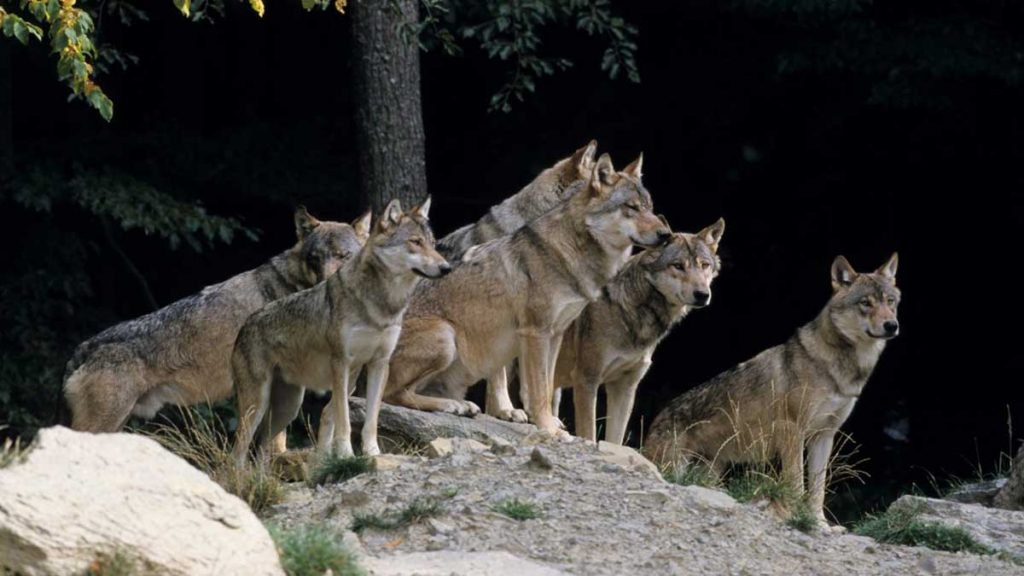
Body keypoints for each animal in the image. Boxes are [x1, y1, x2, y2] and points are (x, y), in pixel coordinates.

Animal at [231, 198, 449, 461]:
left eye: (433, 244)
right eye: (415, 242)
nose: (447, 267)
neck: (382, 305)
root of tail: (244, 325)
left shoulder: (379, 364)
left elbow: (371, 419)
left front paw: (373, 453)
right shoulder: (341, 363)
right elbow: (343, 417)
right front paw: (346, 454)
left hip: (288, 408)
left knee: (262, 451)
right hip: (257, 406)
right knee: (237, 452)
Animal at [382, 154, 670, 436]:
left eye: (650, 207)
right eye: (632, 207)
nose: (666, 234)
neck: (569, 252)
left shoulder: (555, 334)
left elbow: (547, 386)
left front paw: (549, 423)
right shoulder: (535, 332)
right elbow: (538, 389)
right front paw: (547, 428)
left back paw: (460, 405)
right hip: (446, 337)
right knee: (391, 394)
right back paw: (453, 405)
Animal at [553, 220, 724, 444]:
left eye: (704, 265)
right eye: (678, 265)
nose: (702, 295)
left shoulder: (625, 388)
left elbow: (614, 439)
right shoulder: (586, 380)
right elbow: (589, 433)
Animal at [643, 253, 900, 528]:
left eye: (890, 301)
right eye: (865, 303)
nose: (891, 325)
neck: (840, 368)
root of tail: (658, 417)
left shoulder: (824, 435)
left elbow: (818, 488)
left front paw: (819, 522)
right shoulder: (792, 431)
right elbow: (797, 482)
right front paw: (796, 516)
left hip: (712, 470)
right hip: (675, 465)